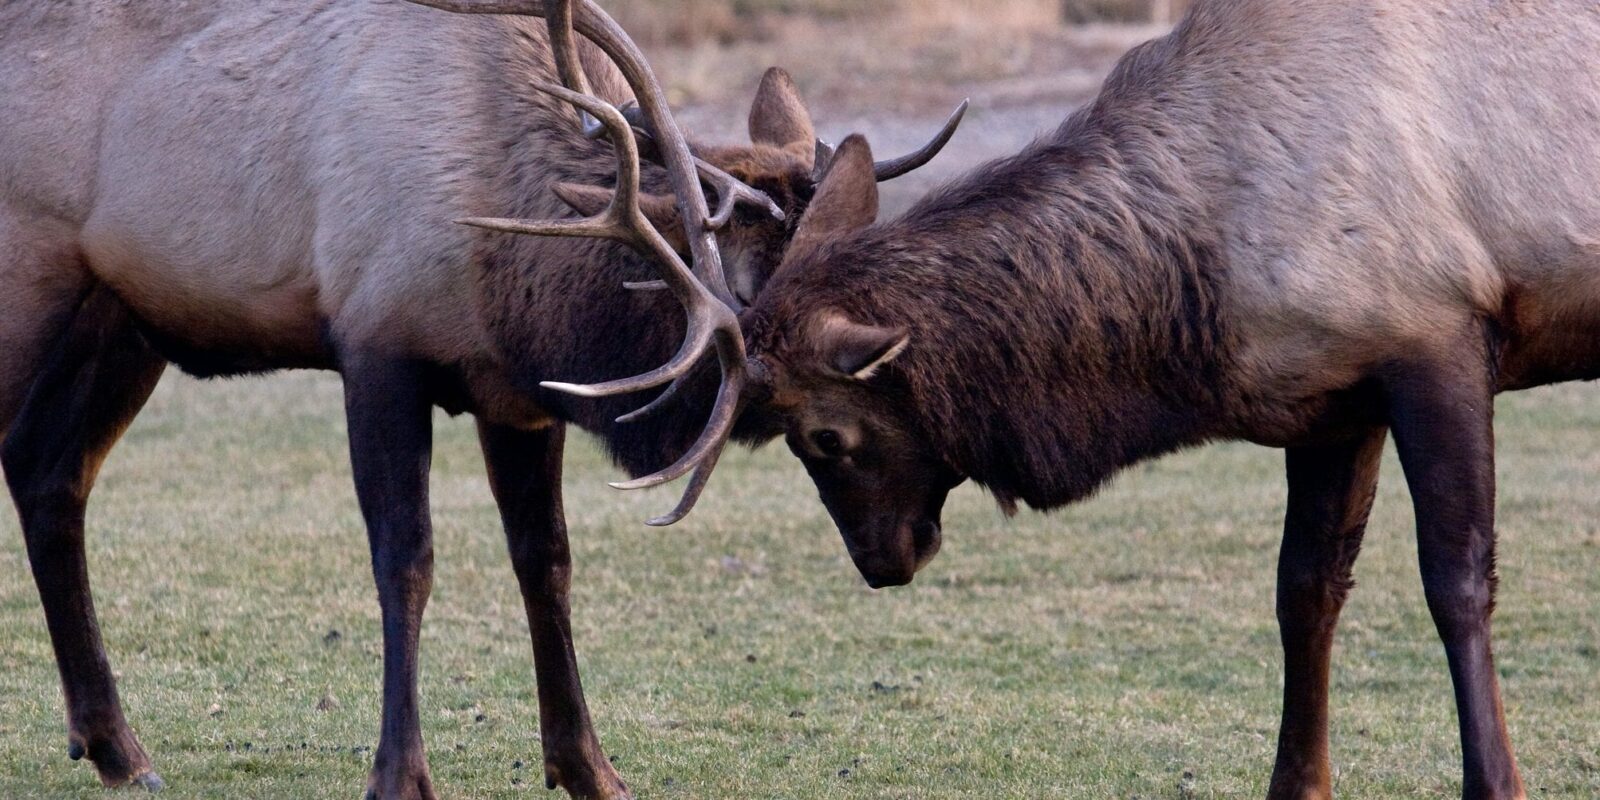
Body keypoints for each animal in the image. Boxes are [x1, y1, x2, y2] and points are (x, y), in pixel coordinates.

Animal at [0, 1, 960, 800]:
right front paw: (399, 776)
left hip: (121, 321)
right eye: (820, 421)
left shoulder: (519, 396)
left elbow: (547, 562)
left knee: (49, 473)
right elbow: (406, 560)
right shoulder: (376, 346)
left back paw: (116, 747)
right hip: (32, 285)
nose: (905, 548)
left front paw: (589, 768)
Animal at [515, 0, 1600, 796]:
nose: (882, 561)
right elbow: (1306, 591)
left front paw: (1495, 779)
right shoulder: (1336, 390)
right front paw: (1297, 782)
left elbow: (1457, 584)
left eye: (823, 437)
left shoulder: (1439, 337)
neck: (1207, 282)